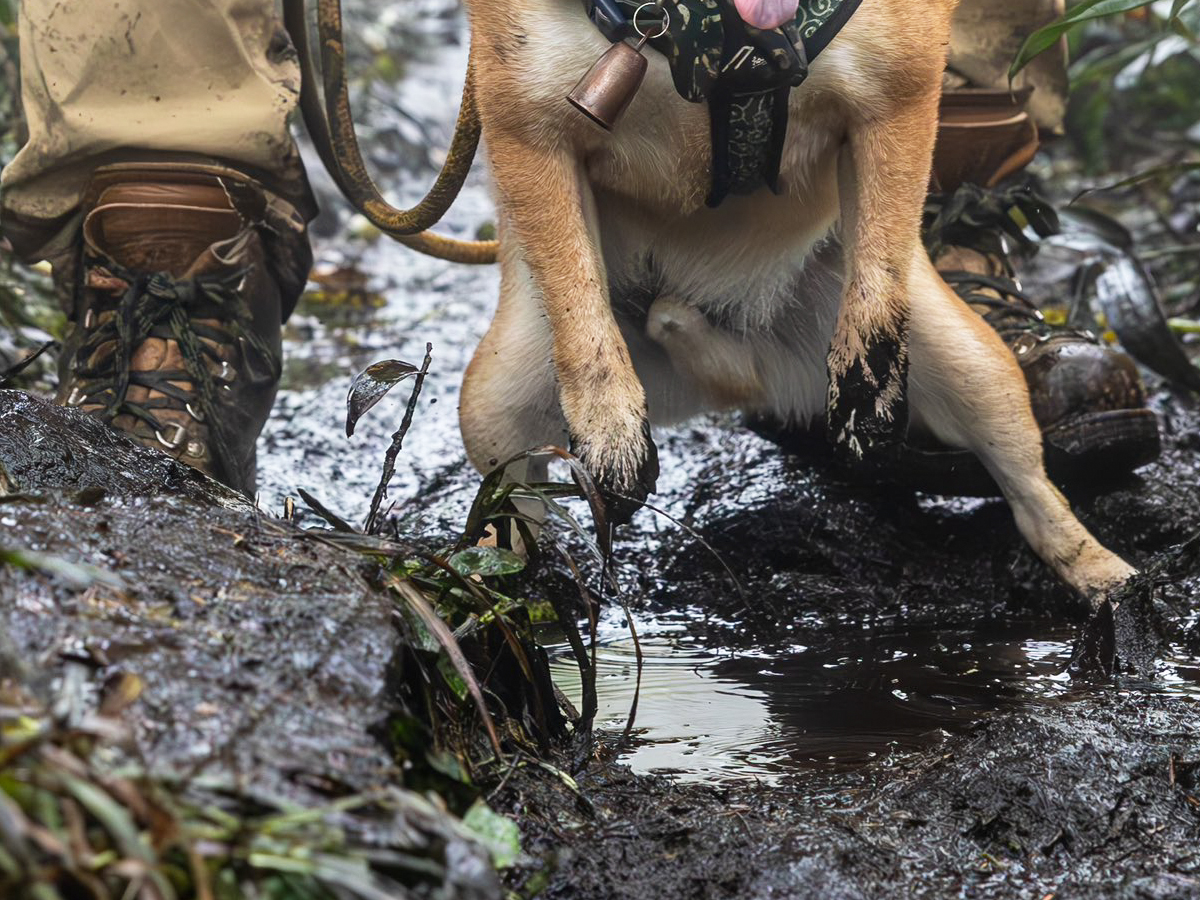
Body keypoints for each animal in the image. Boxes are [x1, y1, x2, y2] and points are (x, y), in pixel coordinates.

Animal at [451, 0, 1132, 602]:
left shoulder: (898, 91)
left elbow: (882, 246)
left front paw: (867, 369)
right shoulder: (529, 126)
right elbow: (577, 297)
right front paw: (609, 426)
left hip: (974, 367)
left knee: (1032, 495)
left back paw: (1107, 580)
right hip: (496, 409)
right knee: (508, 519)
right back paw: (482, 588)